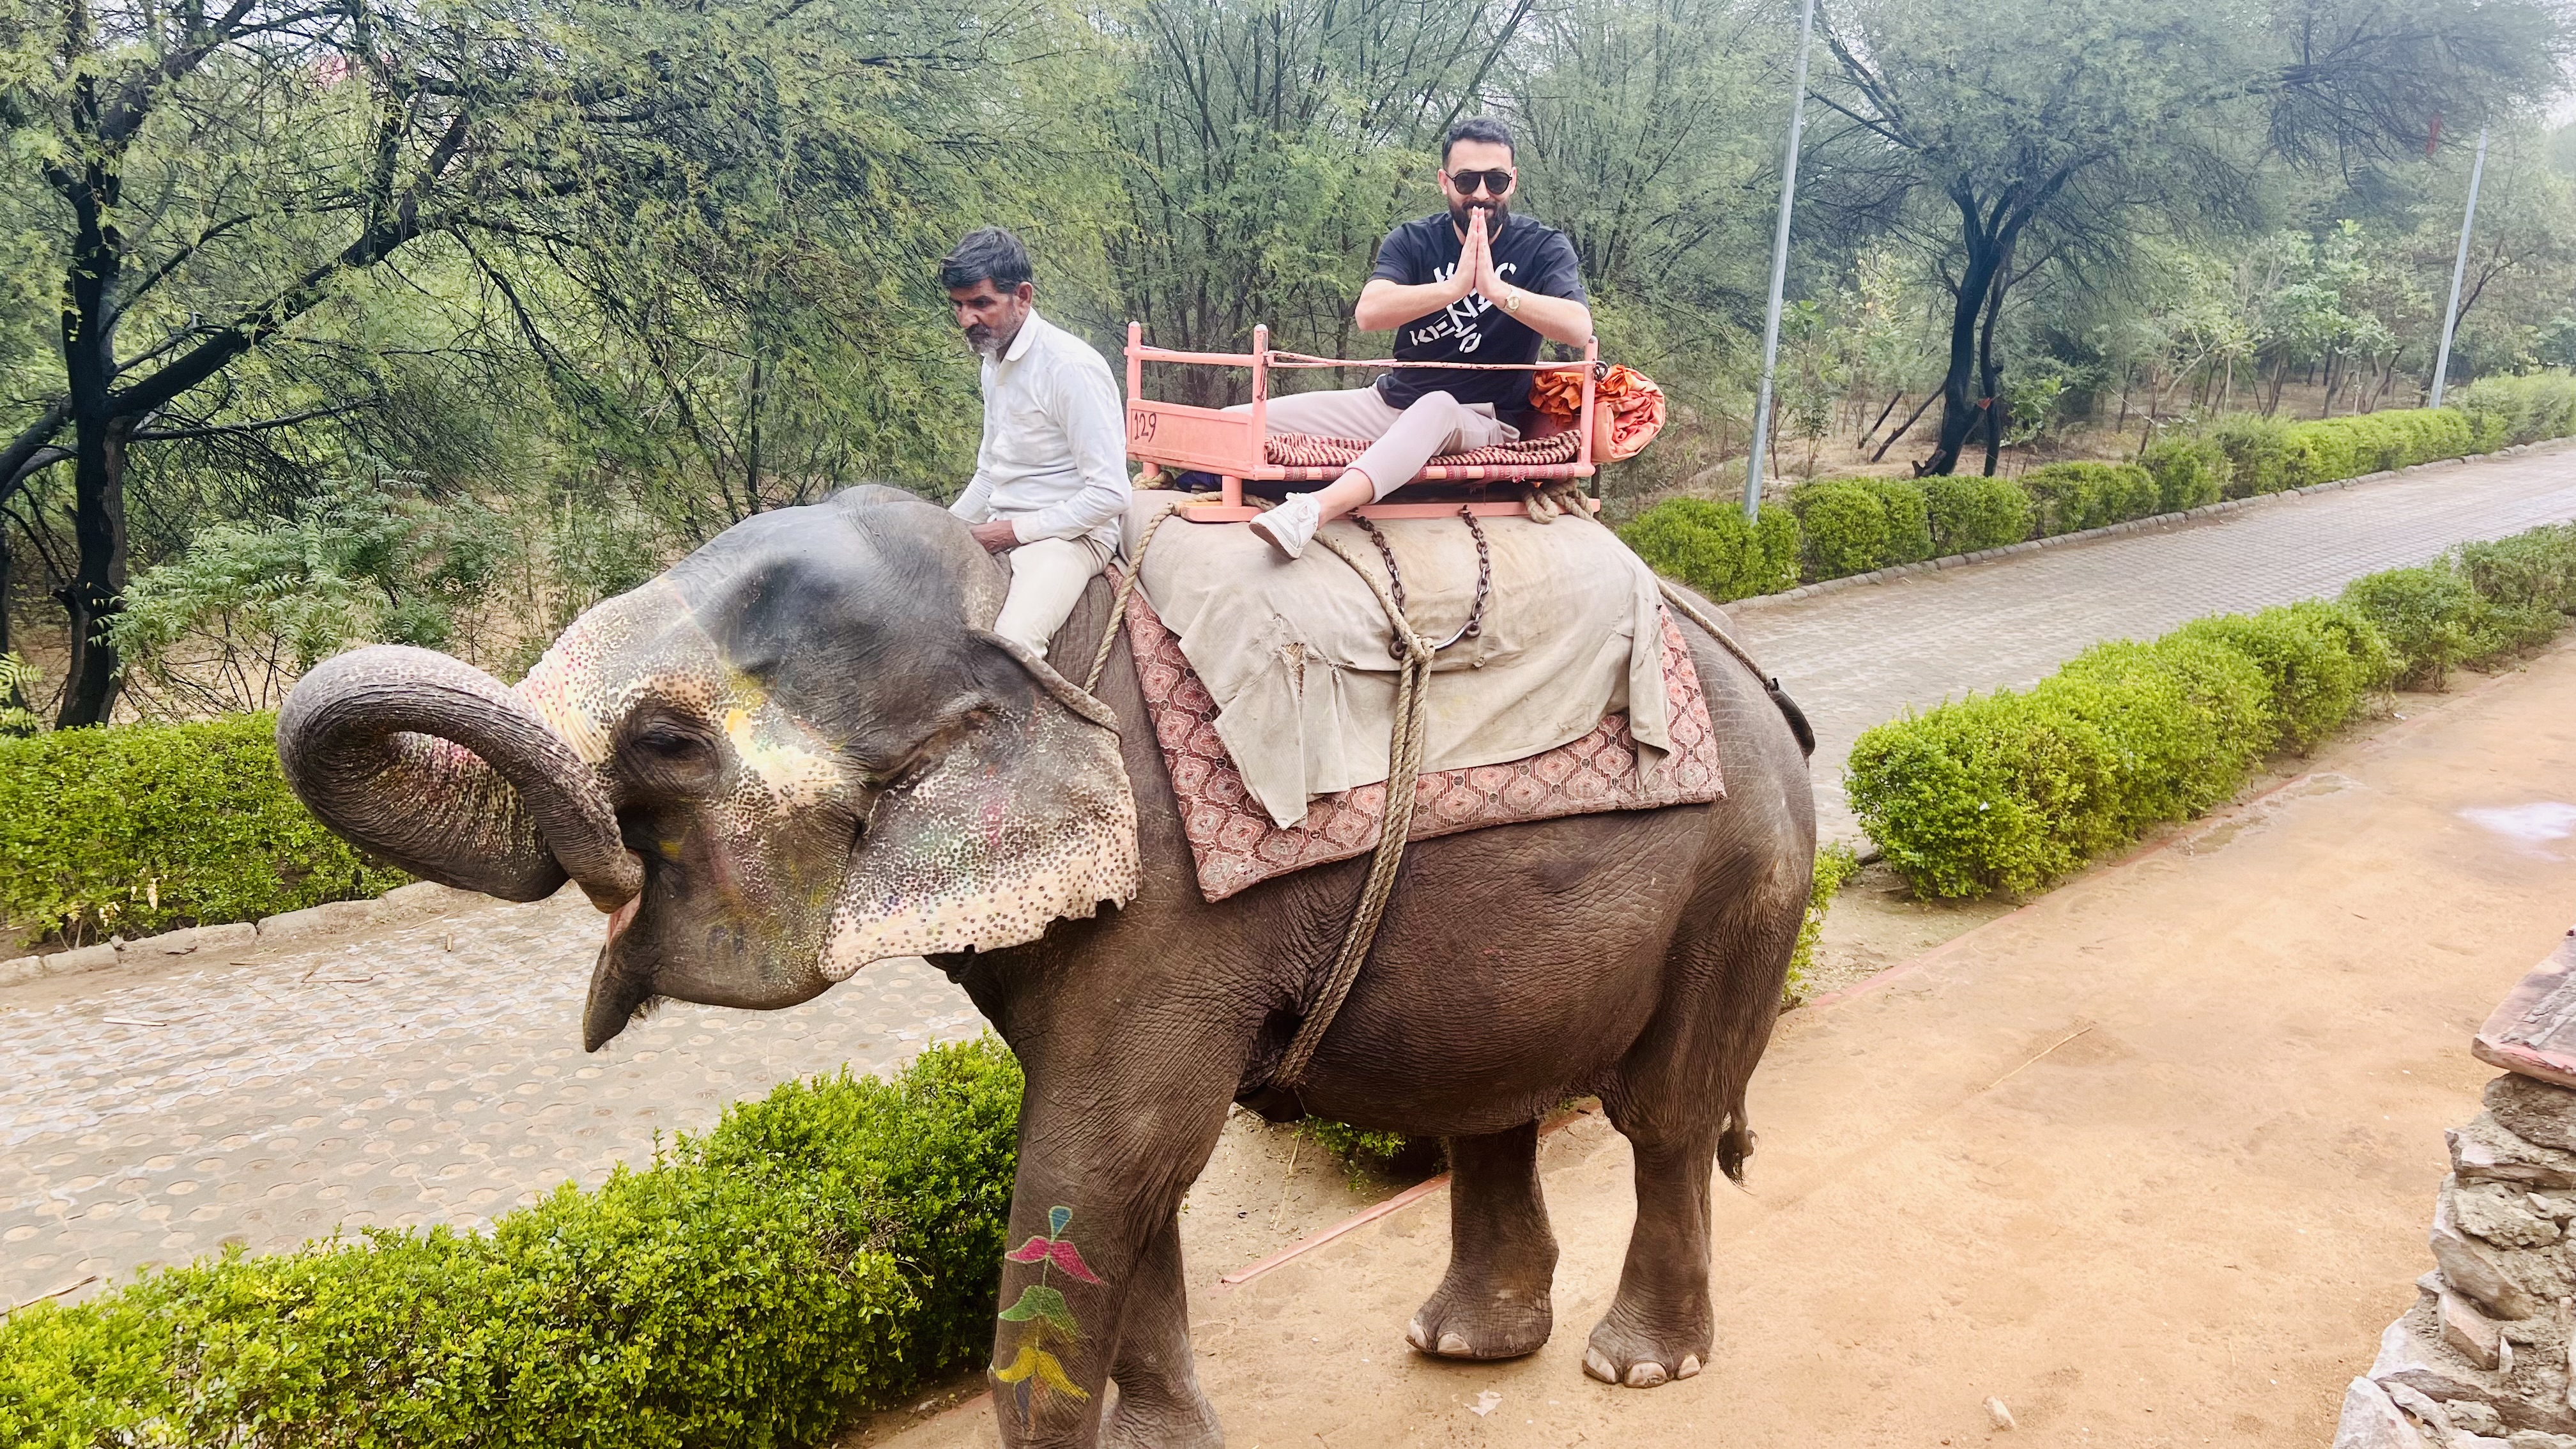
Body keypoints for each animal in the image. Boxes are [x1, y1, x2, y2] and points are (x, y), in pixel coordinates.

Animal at [276, 484, 1816, 1448]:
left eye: (665, 742)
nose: (602, 867)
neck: (1003, 602)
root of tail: (1754, 663)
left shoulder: (1171, 905)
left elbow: (1106, 1150)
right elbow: (1121, 1168)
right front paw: (1169, 1444)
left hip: (1743, 870)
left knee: (1664, 1113)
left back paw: (1635, 1363)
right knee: (1493, 1095)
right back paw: (1463, 1347)